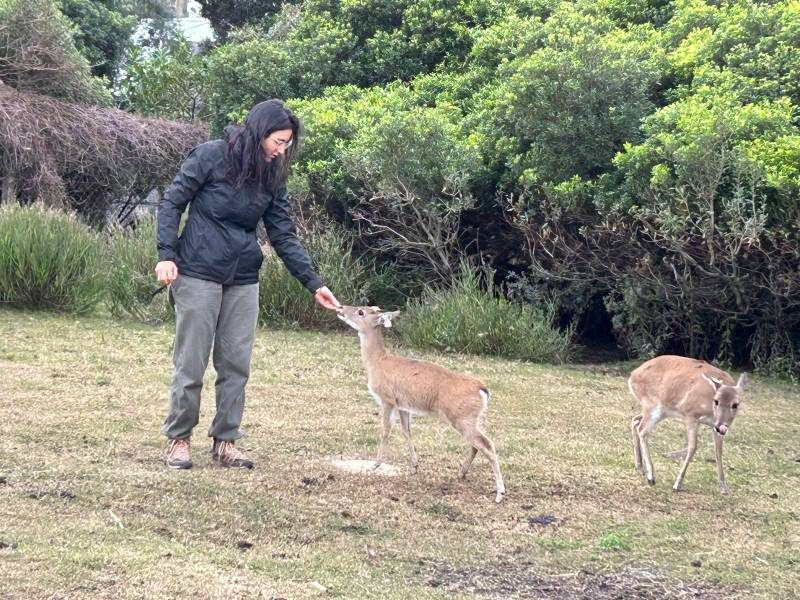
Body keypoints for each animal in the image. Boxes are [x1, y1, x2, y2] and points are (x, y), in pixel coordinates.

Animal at [338, 304, 506, 502]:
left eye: (361, 312)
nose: (340, 308)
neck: (377, 362)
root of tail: (482, 389)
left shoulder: (387, 399)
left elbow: (385, 431)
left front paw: (375, 465)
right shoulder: (403, 405)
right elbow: (406, 431)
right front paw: (414, 466)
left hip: (461, 417)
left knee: (487, 444)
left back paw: (499, 493)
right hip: (472, 418)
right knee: (477, 444)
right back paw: (461, 473)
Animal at [628, 356, 748, 492]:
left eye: (736, 404)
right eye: (716, 401)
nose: (721, 426)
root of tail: (632, 375)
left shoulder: (714, 426)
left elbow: (719, 452)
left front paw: (723, 487)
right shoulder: (691, 414)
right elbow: (693, 446)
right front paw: (677, 484)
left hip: (662, 410)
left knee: (635, 420)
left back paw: (639, 467)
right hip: (652, 404)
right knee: (642, 430)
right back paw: (651, 477)